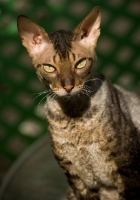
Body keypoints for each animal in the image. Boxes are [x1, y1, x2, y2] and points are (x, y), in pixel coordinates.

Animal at [17, 6, 140, 200]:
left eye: (80, 63)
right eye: (49, 67)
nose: (68, 86)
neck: (74, 116)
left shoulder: (127, 168)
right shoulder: (77, 178)